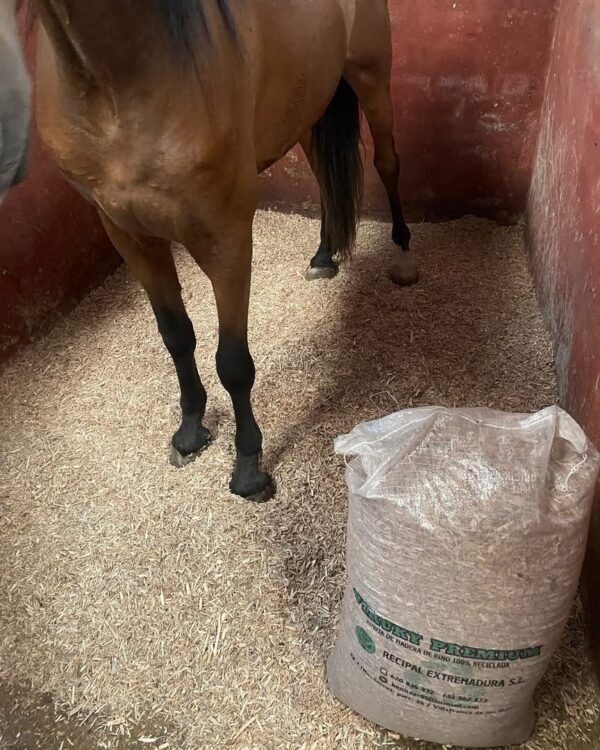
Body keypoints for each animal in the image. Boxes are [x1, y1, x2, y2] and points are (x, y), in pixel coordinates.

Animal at [1, 0, 418, 501]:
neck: (114, 89)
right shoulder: (130, 237)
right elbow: (176, 335)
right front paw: (190, 431)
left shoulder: (227, 239)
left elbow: (233, 363)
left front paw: (248, 468)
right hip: (308, 105)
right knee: (322, 174)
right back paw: (322, 257)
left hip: (371, 76)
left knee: (388, 163)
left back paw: (404, 256)